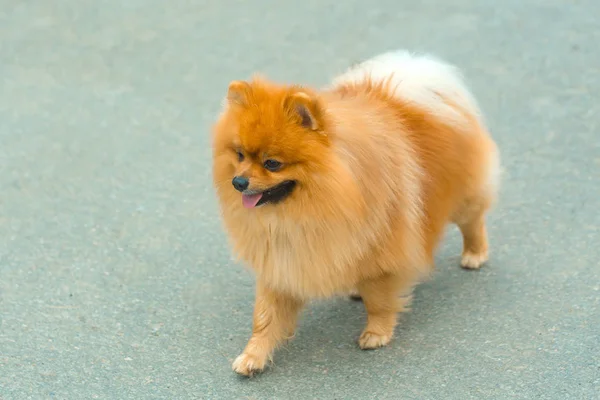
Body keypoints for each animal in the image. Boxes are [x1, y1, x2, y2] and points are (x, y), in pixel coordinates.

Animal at [212, 49, 502, 376]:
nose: (238, 182)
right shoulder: (282, 260)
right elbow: (265, 317)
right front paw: (253, 356)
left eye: (272, 163)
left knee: (473, 222)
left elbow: (379, 301)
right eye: (239, 155)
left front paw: (376, 333)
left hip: (465, 198)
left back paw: (474, 254)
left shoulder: (382, 253)